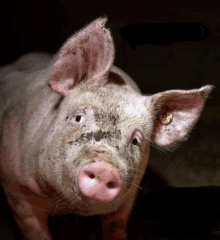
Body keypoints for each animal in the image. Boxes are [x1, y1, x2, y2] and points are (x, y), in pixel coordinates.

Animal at [0, 17, 213, 240]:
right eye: (78, 118)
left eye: (136, 140)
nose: (104, 169)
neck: (68, 208)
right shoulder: (15, 187)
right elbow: (34, 229)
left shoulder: (127, 200)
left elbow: (115, 227)